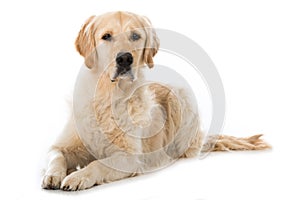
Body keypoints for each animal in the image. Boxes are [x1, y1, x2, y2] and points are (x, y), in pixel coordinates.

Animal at [41, 10, 270, 191]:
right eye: (106, 36)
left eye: (135, 36)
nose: (125, 59)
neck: (109, 96)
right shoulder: (62, 144)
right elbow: (56, 155)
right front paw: (53, 175)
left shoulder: (129, 157)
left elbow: (98, 164)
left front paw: (78, 177)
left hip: (181, 98)